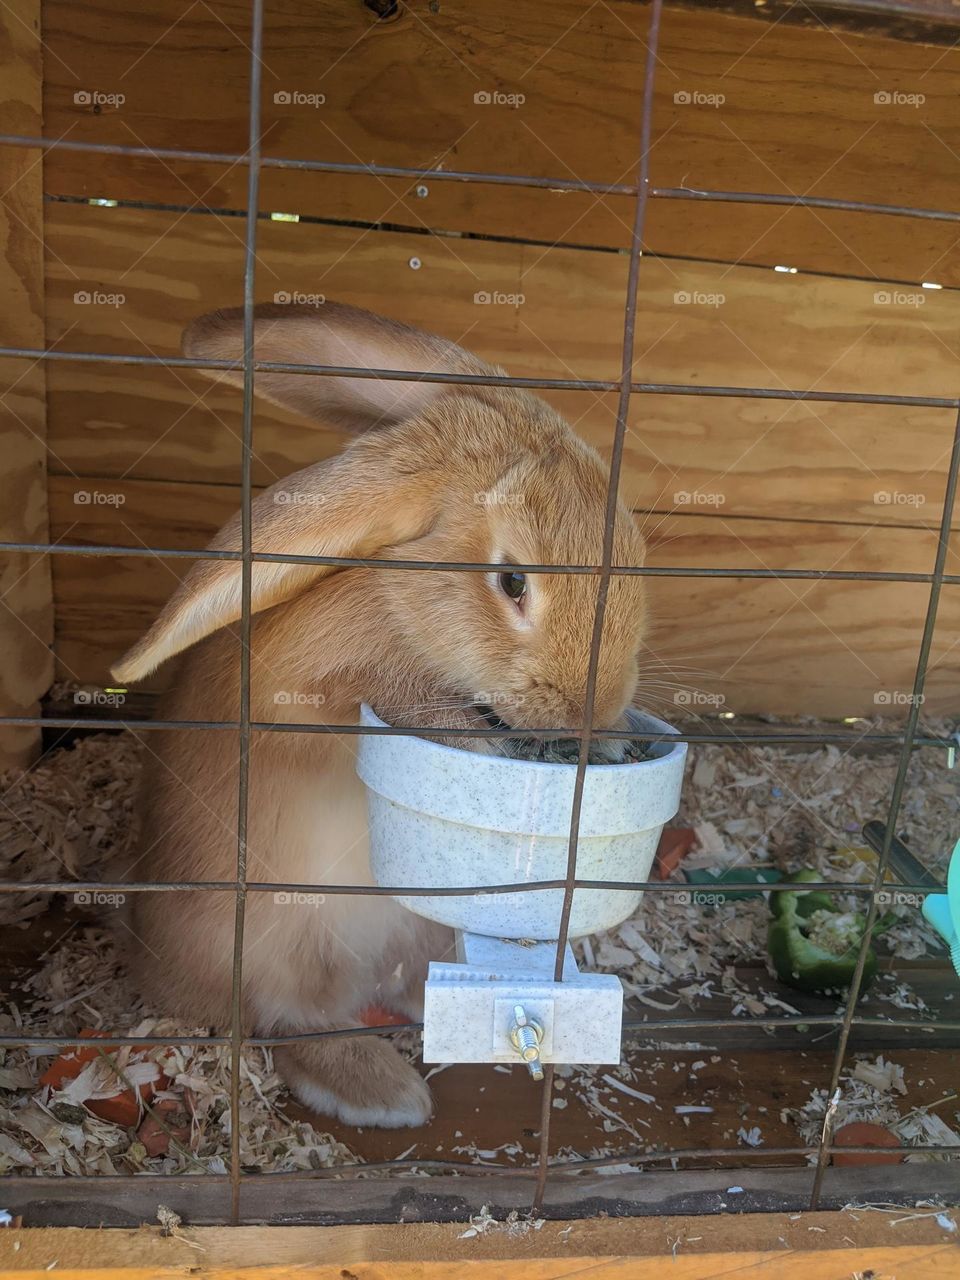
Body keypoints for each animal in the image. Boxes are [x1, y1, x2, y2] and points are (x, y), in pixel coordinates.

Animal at [112, 302, 655, 1131]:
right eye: (513, 581)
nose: (591, 712)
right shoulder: (319, 682)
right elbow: (403, 707)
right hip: (278, 942)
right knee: (287, 1017)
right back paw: (385, 1093)